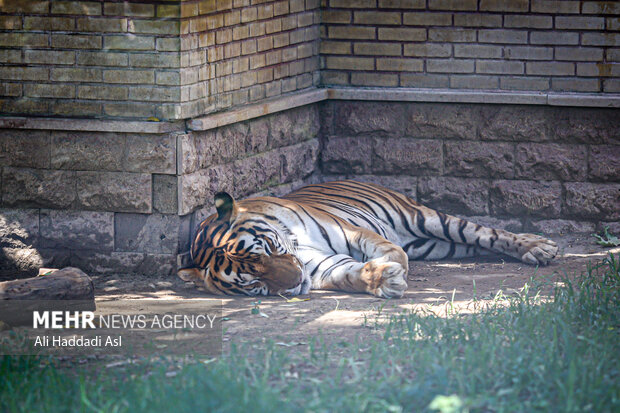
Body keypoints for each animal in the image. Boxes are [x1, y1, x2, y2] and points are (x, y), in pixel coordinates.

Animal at [177, 179, 560, 298]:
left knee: (486, 233)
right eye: (254, 284)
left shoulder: (349, 231)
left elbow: (389, 250)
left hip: (427, 219)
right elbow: (348, 273)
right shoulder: (320, 265)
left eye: (269, 249)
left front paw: (394, 268)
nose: (296, 281)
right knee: (474, 243)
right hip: (440, 245)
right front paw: (382, 280)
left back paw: (539, 247)